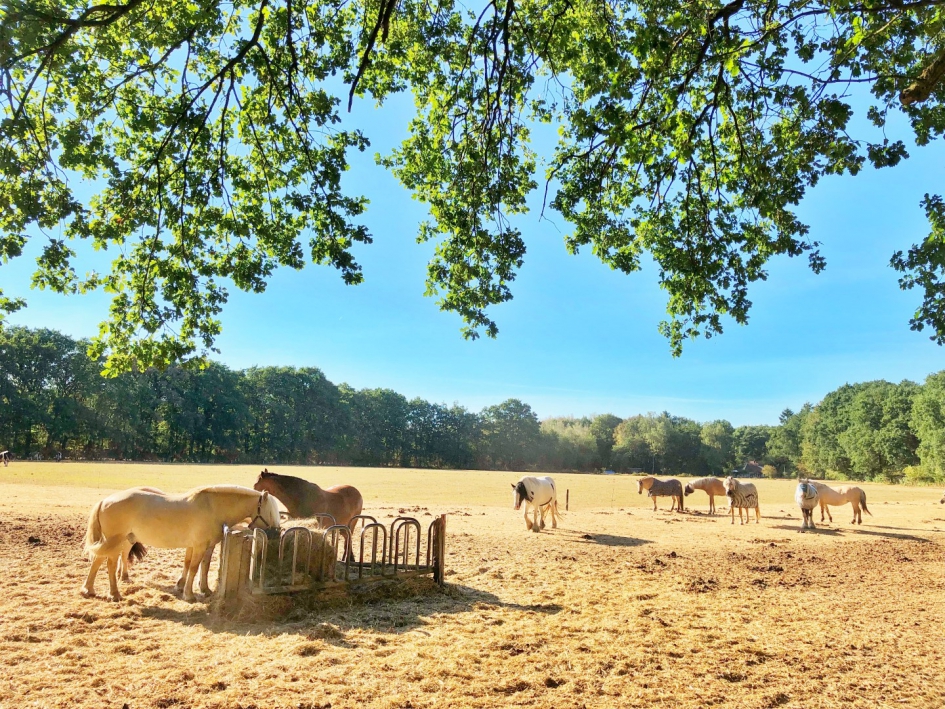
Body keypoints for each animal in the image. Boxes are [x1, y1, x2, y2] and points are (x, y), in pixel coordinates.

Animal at [82, 485, 279, 602]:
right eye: (271, 511)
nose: (277, 532)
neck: (212, 508)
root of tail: (105, 501)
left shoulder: (202, 546)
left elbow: (199, 566)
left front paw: (202, 589)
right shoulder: (199, 546)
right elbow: (194, 567)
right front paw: (189, 594)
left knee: (98, 561)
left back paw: (88, 590)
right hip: (116, 541)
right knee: (109, 564)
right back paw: (114, 594)